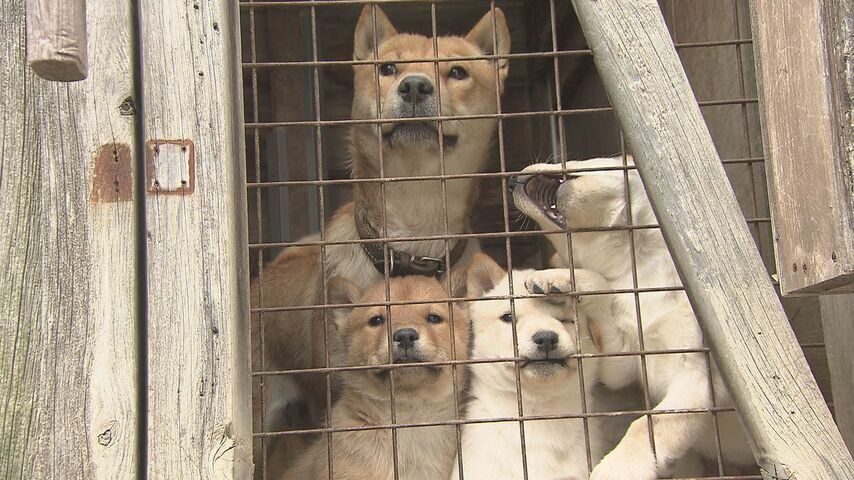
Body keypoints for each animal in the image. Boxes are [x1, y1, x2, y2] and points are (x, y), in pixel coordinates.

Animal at [512, 157, 752, 476]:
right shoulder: (623, 365)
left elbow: (649, 423)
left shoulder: (699, 377)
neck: (635, 263)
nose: (510, 181)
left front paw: (618, 468)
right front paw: (556, 279)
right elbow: (602, 285)